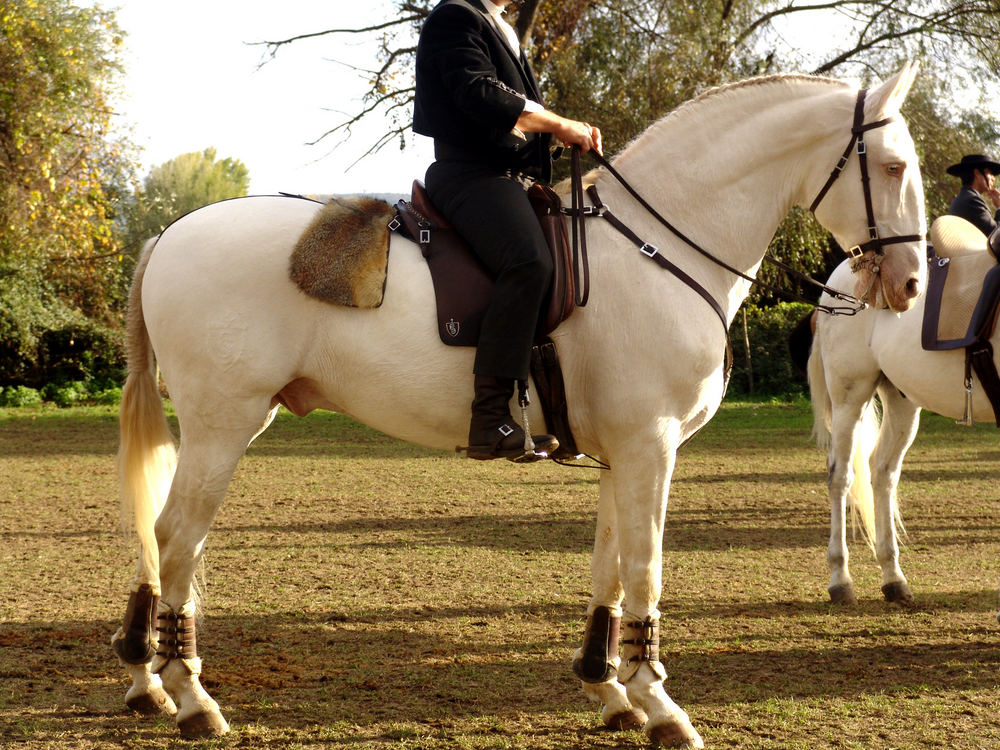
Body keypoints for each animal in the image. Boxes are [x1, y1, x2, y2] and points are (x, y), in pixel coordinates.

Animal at [113, 67, 924, 748]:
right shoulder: (651, 447)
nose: (913, 282)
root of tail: (171, 233)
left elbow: (610, 569)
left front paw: (610, 690)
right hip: (224, 424)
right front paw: (659, 704)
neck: (655, 250)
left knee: (166, 540)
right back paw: (191, 698)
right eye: (891, 167)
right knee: (176, 537)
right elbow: (646, 570)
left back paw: (147, 683)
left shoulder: (623, 454)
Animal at [808, 217, 996, 612]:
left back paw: (893, 577)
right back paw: (840, 580)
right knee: (841, 477)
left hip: (901, 400)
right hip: (850, 398)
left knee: (882, 473)